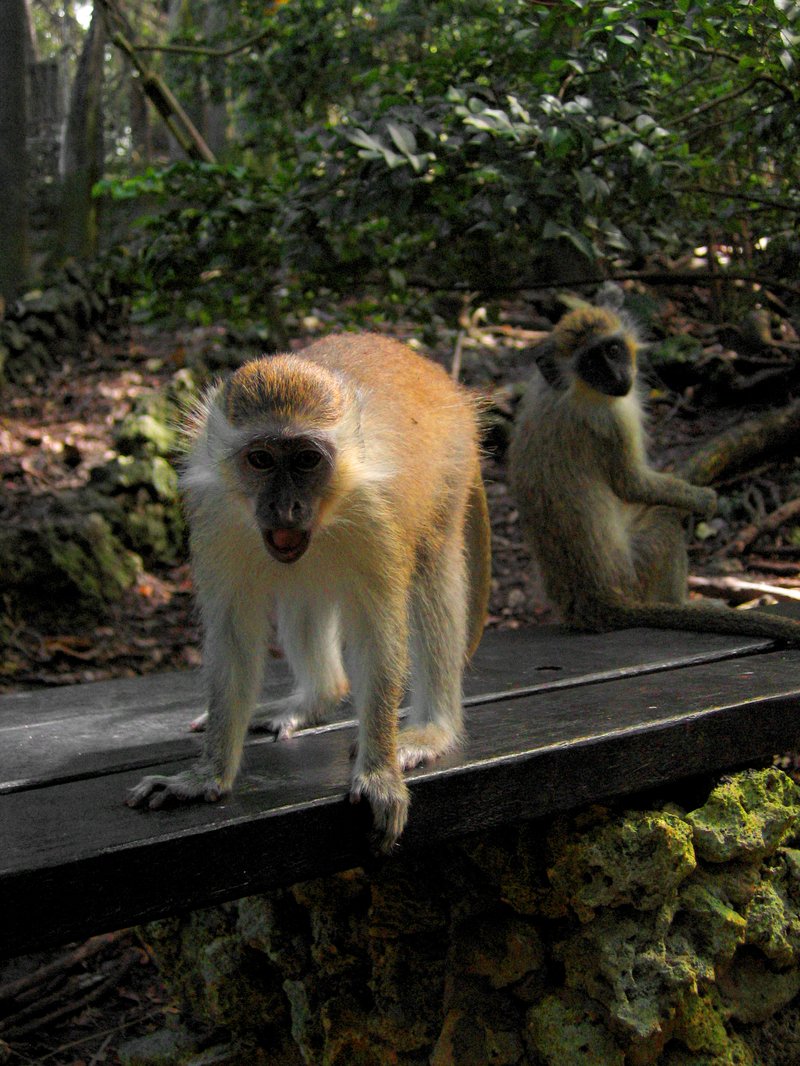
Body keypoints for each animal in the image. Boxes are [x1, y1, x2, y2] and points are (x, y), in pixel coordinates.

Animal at [126, 333, 492, 852]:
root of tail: (442, 379)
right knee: (305, 590)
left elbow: (378, 638)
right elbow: (234, 640)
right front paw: (205, 776)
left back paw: (432, 729)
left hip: (451, 472)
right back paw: (316, 698)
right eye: (261, 459)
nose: (285, 507)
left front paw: (378, 772)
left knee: (433, 573)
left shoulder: (377, 515)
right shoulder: (216, 515)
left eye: (306, 459)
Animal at [508, 303, 800, 645]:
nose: (617, 375)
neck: (573, 389)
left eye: (613, 350)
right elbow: (632, 484)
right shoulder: (612, 420)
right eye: (591, 363)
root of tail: (597, 604)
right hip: (638, 576)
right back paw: (683, 602)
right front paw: (701, 498)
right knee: (666, 520)